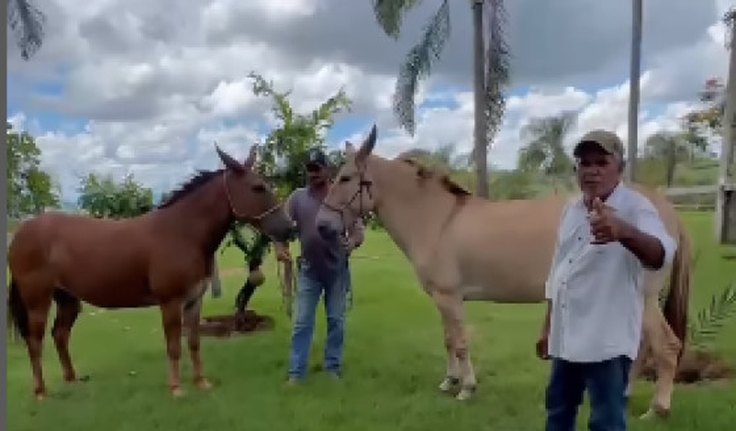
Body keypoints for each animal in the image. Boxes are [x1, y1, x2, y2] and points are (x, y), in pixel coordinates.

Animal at [8, 143, 294, 400]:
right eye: (257, 187)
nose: (289, 228)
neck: (182, 233)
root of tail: (20, 233)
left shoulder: (194, 301)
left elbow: (193, 342)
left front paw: (201, 383)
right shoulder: (170, 302)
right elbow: (173, 346)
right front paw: (176, 389)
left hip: (67, 299)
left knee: (60, 335)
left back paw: (72, 381)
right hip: (38, 300)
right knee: (35, 341)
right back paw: (41, 392)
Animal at [314, 126, 688, 420]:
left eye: (345, 178)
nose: (322, 225)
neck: (438, 219)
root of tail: (664, 206)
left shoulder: (450, 297)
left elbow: (461, 342)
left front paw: (466, 388)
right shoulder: (441, 298)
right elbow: (448, 340)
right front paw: (449, 382)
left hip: (645, 298)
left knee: (666, 347)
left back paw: (657, 409)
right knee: (642, 347)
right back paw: (626, 394)